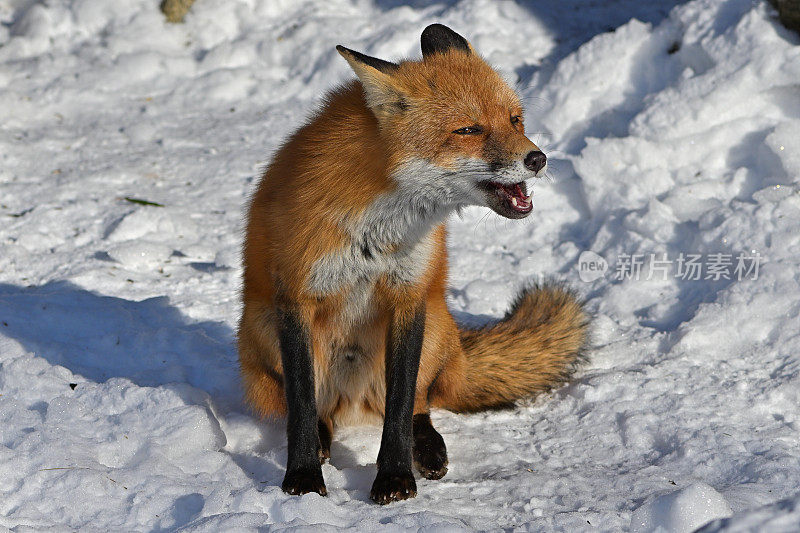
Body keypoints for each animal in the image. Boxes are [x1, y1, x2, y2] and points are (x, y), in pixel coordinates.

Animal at [238, 23, 588, 502]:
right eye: (468, 129)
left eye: (515, 119)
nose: (538, 158)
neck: (378, 227)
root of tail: (353, 402)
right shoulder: (296, 296)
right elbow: (302, 405)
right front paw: (304, 477)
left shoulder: (407, 296)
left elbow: (402, 404)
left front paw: (395, 477)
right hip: (262, 325)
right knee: (315, 409)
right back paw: (326, 440)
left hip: (434, 320)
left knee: (421, 403)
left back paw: (429, 448)